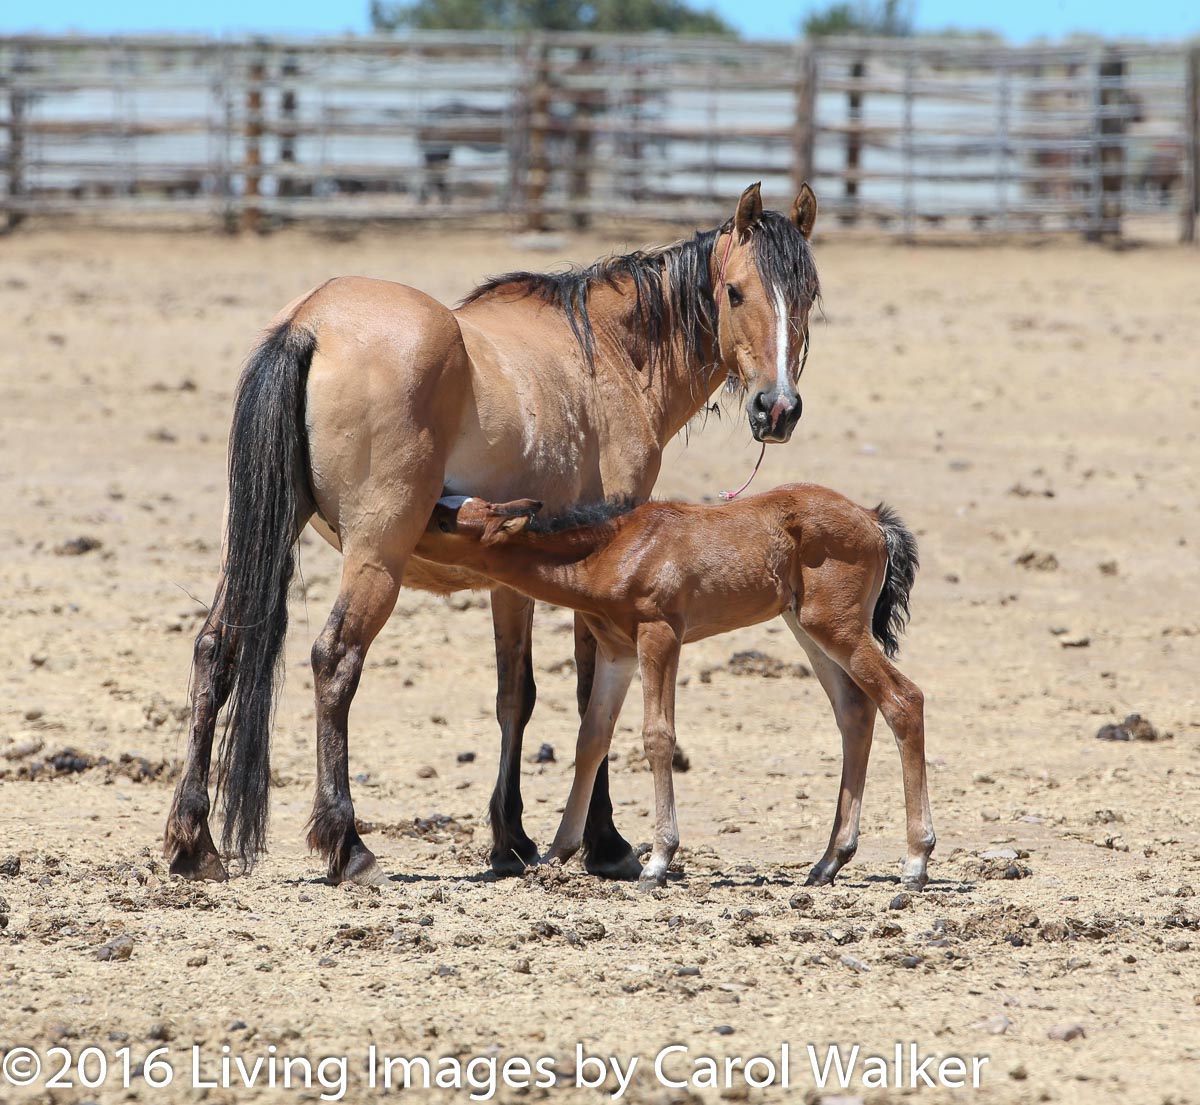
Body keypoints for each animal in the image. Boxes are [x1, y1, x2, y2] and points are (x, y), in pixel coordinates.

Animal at [417, 487, 931, 892]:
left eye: (444, 522)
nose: (406, 535)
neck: (614, 549)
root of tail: (873, 519)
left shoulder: (660, 634)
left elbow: (657, 737)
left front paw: (658, 862)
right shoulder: (617, 653)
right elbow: (591, 740)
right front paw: (557, 853)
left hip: (837, 626)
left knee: (903, 700)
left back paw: (915, 861)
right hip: (808, 626)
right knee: (855, 712)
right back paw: (829, 862)